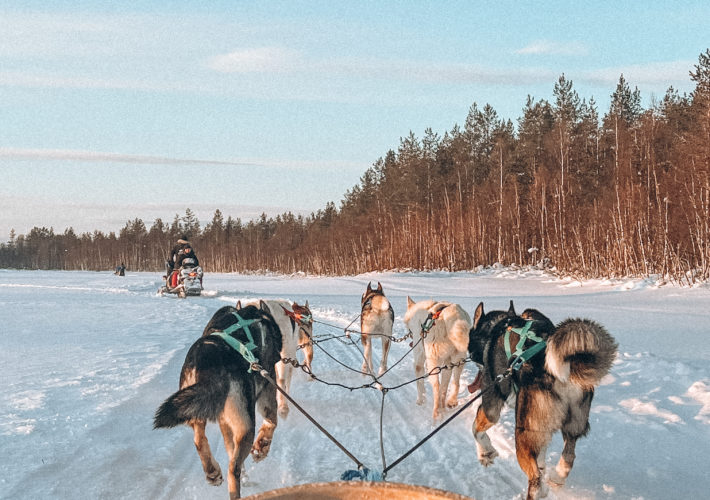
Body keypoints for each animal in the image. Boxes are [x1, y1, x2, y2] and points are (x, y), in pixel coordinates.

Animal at [154, 302, 282, 498]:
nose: (280, 356)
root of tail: (209, 363)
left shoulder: (224, 421)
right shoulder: (268, 387)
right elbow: (272, 421)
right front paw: (261, 448)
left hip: (196, 411)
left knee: (200, 440)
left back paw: (213, 472)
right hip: (246, 426)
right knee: (233, 468)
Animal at [468, 300, 616, 500]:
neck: (500, 325)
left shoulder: (492, 403)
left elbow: (476, 428)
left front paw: (485, 453)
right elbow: (540, 458)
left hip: (523, 433)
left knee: (536, 480)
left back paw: (538, 488)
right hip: (572, 424)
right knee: (568, 457)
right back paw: (556, 477)